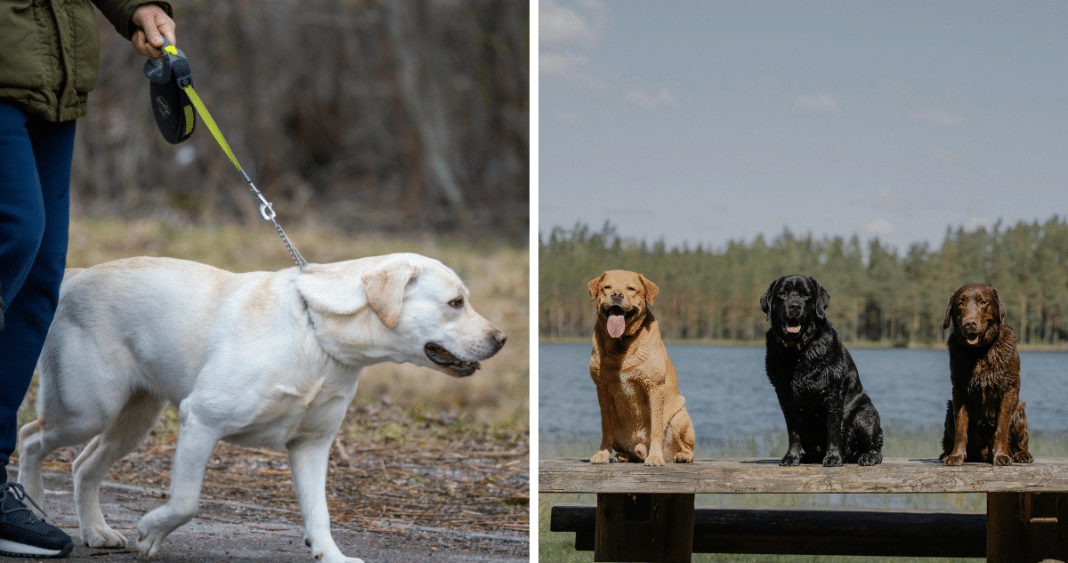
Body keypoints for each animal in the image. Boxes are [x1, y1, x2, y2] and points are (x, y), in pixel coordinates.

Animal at [18, 255, 504, 563]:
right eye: (456, 302)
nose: (502, 339)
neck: (318, 336)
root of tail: (74, 276)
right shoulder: (201, 420)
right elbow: (186, 502)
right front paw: (152, 531)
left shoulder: (312, 445)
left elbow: (319, 513)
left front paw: (331, 556)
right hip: (88, 408)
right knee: (31, 438)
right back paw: (36, 509)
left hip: (134, 419)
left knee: (83, 465)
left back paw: (96, 532)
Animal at [585, 270, 692, 467]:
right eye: (607, 287)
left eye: (631, 289)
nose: (617, 294)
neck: (621, 345)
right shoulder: (602, 389)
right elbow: (606, 427)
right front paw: (602, 454)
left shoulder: (654, 387)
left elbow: (656, 426)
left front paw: (655, 457)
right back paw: (624, 455)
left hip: (680, 418)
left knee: (685, 447)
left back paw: (682, 455)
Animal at [760, 273, 884, 467]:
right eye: (782, 294)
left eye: (805, 295)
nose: (794, 305)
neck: (798, 351)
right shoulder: (785, 396)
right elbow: (793, 431)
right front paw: (791, 456)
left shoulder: (832, 390)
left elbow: (832, 428)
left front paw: (833, 457)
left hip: (864, 415)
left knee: (874, 446)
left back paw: (868, 456)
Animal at [939, 284, 1029, 465]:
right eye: (960, 303)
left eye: (983, 302)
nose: (969, 323)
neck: (979, 351)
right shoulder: (959, 390)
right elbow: (961, 426)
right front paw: (956, 455)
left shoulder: (1009, 388)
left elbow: (1002, 426)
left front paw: (1001, 455)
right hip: (949, 410)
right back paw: (946, 454)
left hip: (1020, 411)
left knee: (1021, 442)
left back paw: (1021, 454)